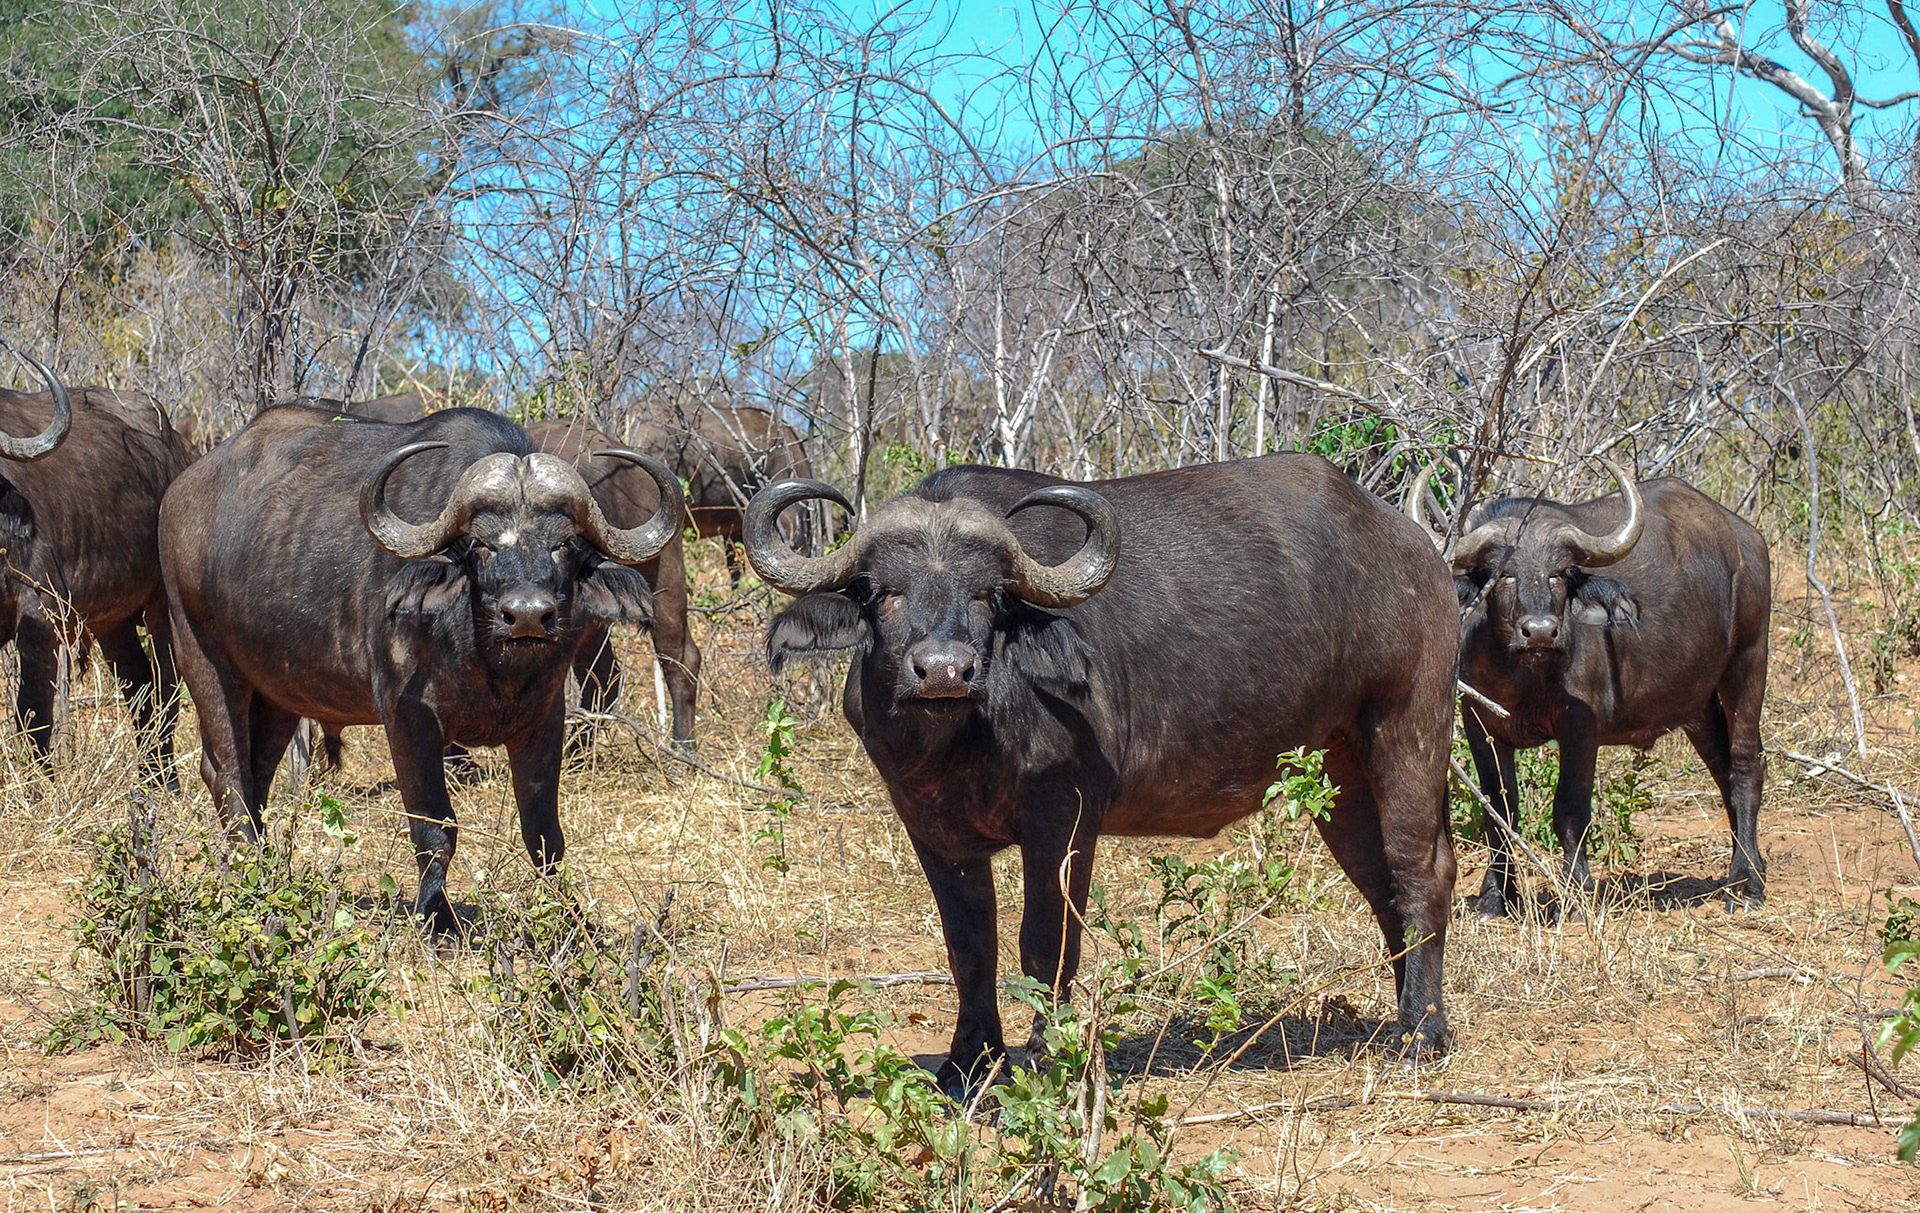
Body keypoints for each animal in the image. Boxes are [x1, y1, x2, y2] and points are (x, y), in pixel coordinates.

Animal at [0, 350, 192, 784]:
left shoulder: (42, 616)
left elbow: (33, 712)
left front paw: (43, 788)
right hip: (114, 621)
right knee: (138, 686)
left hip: (163, 608)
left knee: (167, 689)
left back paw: (164, 779)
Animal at [159, 405, 681, 927]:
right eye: (480, 544)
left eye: (565, 543)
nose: (528, 615)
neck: (491, 662)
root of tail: (178, 495)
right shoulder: (407, 717)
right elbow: (435, 827)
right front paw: (438, 918)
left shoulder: (545, 718)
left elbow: (544, 835)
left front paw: (570, 917)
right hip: (202, 658)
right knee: (228, 774)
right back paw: (246, 874)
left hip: (279, 693)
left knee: (258, 773)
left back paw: (266, 867)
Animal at [746, 456, 1461, 1093]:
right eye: (881, 593)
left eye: (990, 596)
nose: (944, 669)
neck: (963, 740)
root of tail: (1415, 547)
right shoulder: (931, 829)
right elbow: (969, 946)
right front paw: (968, 1063)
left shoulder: (1064, 818)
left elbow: (1046, 945)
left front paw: (1042, 1061)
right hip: (1339, 770)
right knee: (1381, 885)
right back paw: (1403, 1014)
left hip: (1409, 728)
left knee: (1421, 872)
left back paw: (1421, 1033)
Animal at [1407, 460, 1770, 914]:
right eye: (1502, 574)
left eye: (1560, 574)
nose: (1540, 631)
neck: (1526, 677)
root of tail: (1746, 540)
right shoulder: (1479, 724)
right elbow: (1498, 808)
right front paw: (1495, 897)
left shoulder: (1581, 726)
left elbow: (1570, 807)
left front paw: (1577, 891)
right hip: (1697, 705)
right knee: (1722, 770)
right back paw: (1745, 866)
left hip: (1748, 662)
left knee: (1746, 764)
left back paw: (1747, 882)